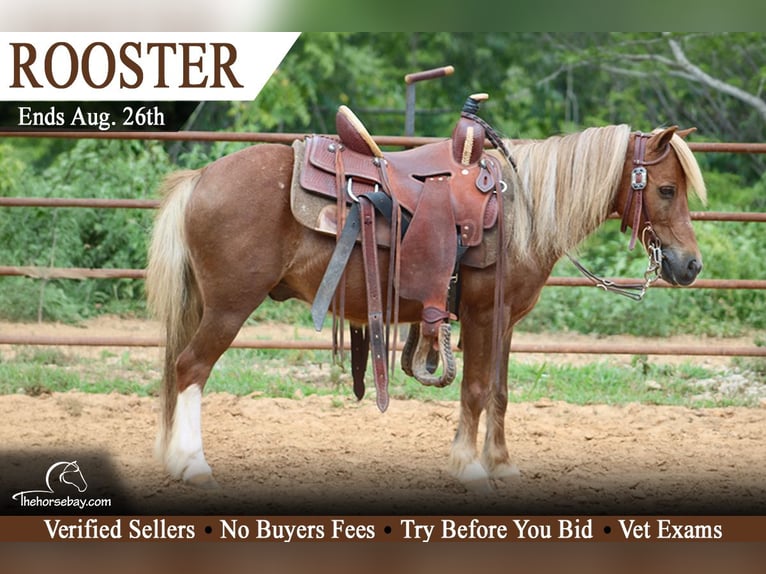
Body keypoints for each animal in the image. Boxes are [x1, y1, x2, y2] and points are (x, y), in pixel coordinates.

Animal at [146, 123, 706, 489]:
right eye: (666, 189)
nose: (691, 265)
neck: (519, 210)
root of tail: (200, 178)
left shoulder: (505, 323)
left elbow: (500, 392)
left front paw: (502, 464)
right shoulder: (482, 316)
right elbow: (475, 390)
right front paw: (470, 468)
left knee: (180, 371)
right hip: (228, 308)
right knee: (190, 368)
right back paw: (193, 465)